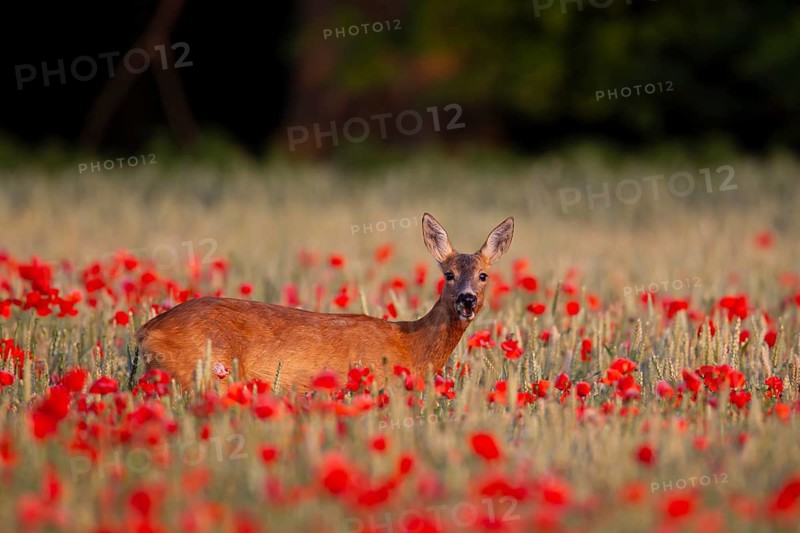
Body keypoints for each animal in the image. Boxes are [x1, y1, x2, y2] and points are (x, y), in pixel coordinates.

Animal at [134, 213, 514, 393]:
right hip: (203, 374)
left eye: (484, 275)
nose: (466, 299)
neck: (410, 345)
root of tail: (146, 331)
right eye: (448, 274)